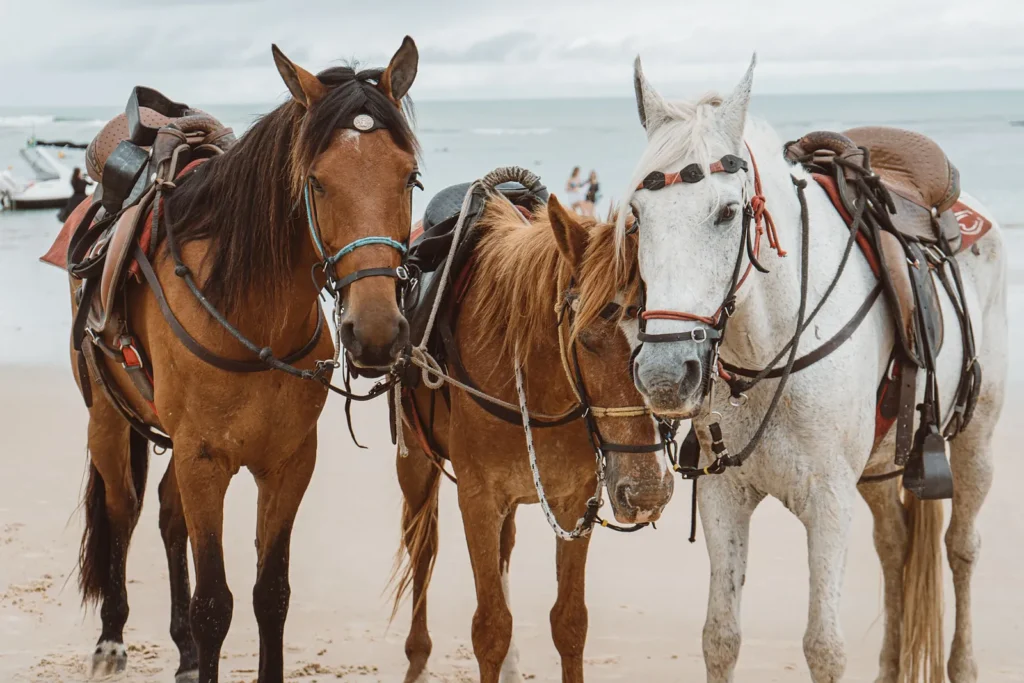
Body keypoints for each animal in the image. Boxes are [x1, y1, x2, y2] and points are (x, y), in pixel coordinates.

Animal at [67, 39, 421, 683]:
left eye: (410, 177)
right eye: (316, 182)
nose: (376, 333)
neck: (253, 318)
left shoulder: (287, 463)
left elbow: (269, 593)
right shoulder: (204, 460)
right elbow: (215, 604)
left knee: (166, 515)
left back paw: (182, 651)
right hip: (107, 418)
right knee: (122, 510)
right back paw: (111, 638)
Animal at [391, 195, 675, 683]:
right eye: (586, 339)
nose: (647, 491)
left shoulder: (575, 501)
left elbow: (570, 623)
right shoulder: (479, 500)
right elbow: (490, 628)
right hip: (415, 463)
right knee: (422, 548)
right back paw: (417, 657)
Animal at [619, 57, 1006, 682]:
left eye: (728, 213)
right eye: (636, 216)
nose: (663, 374)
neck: (770, 349)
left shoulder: (828, 501)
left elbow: (824, 647)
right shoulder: (725, 497)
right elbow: (720, 637)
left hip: (976, 438)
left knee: (962, 547)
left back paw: (964, 663)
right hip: (881, 463)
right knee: (895, 546)